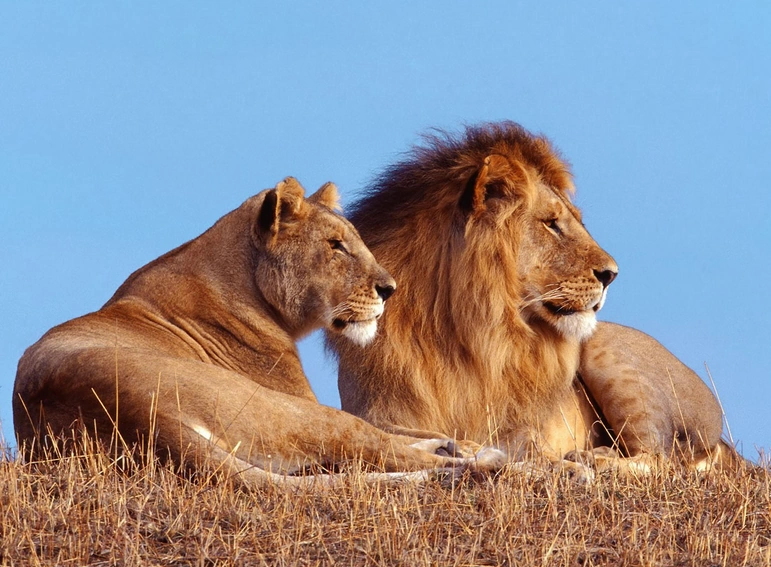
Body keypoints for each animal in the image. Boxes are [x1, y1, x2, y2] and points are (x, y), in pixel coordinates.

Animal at [13, 177, 505, 487]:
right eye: (335, 246)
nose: (390, 288)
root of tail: (139, 415)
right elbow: (386, 432)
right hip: (288, 412)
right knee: (371, 445)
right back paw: (482, 460)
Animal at [328, 122, 733, 473]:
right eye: (551, 224)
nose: (611, 274)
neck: (461, 333)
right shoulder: (372, 410)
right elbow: (394, 433)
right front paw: (454, 448)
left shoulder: (521, 428)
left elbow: (521, 446)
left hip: (608, 352)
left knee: (660, 460)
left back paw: (592, 459)